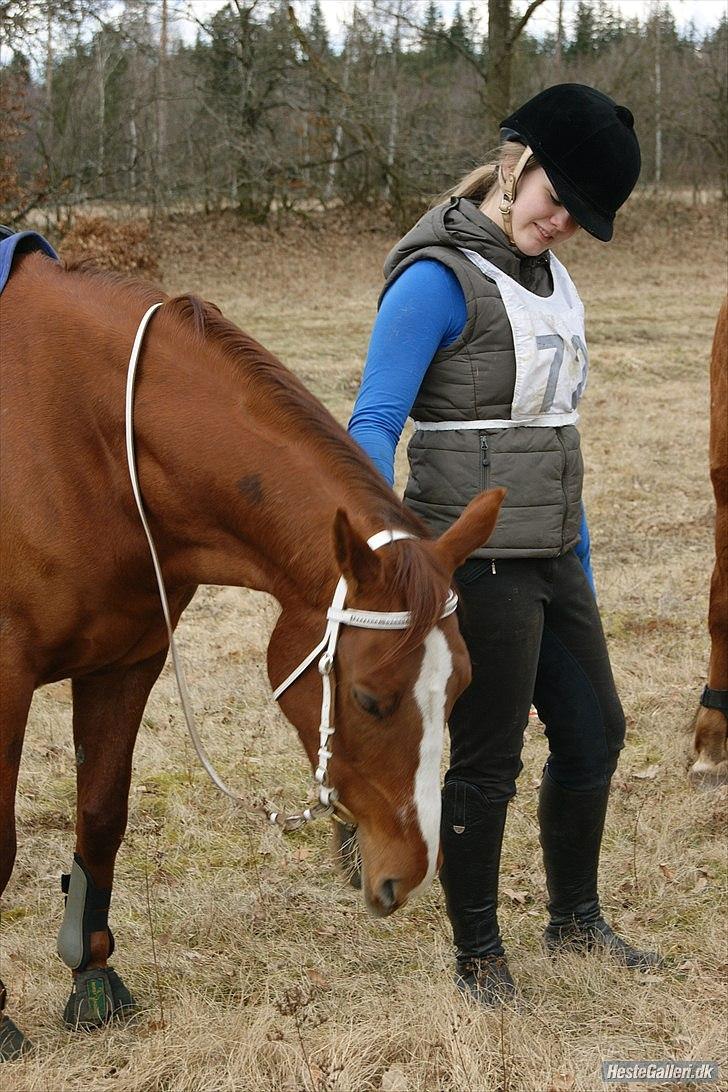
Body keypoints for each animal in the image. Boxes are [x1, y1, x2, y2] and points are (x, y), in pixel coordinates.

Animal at [0, 250, 502, 1057]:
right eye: (369, 699)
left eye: (459, 688)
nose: (410, 873)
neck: (79, 433)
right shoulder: (7, 680)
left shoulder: (125, 663)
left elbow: (102, 817)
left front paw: (94, 978)